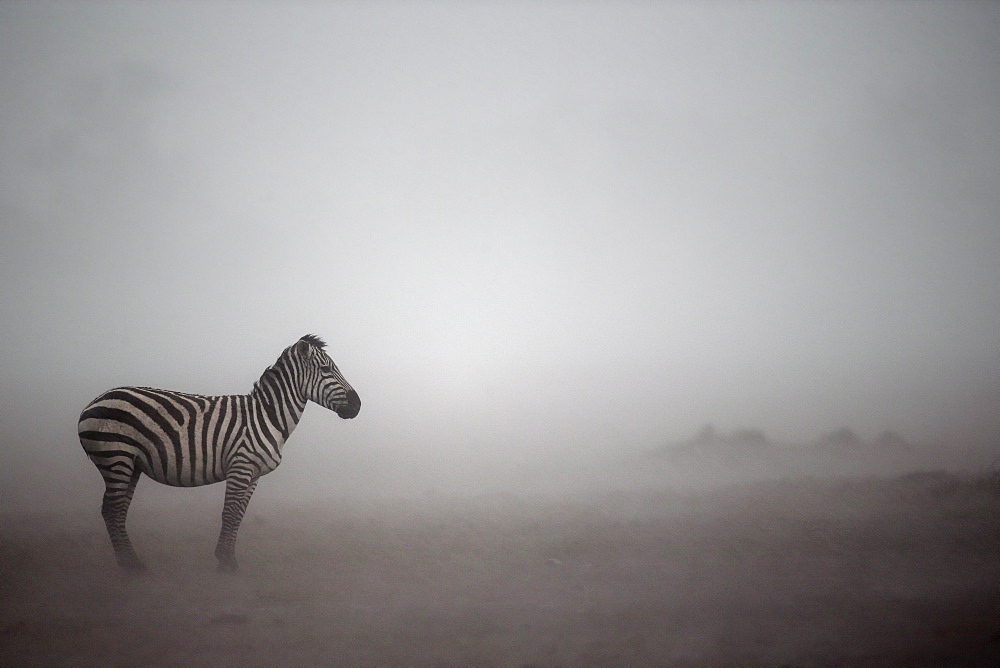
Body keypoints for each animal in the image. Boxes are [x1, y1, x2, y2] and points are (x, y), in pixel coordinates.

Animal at [79, 336, 360, 572]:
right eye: (326, 370)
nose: (358, 406)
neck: (267, 416)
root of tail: (94, 401)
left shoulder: (254, 474)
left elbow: (239, 516)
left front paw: (226, 557)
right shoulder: (240, 466)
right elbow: (230, 513)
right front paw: (226, 563)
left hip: (130, 464)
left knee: (117, 510)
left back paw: (130, 562)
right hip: (116, 456)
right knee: (112, 509)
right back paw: (131, 567)